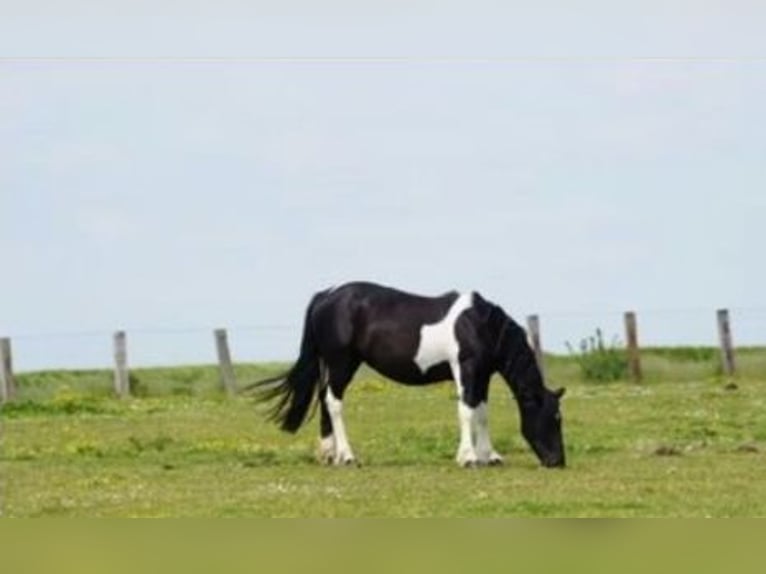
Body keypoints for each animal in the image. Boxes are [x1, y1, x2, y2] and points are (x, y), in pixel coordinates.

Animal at [249, 282, 568, 468]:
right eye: (554, 419)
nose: (558, 461)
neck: (479, 324)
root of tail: (326, 295)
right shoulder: (466, 369)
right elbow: (466, 412)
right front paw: (468, 457)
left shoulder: (482, 374)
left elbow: (481, 413)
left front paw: (490, 456)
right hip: (342, 363)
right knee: (334, 402)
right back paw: (348, 456)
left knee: (325, 399)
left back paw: (330, 454)